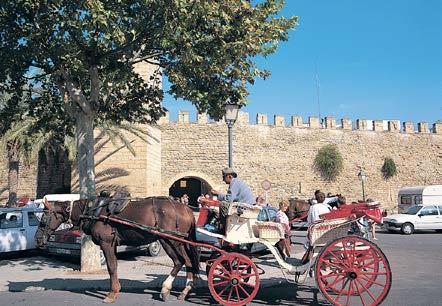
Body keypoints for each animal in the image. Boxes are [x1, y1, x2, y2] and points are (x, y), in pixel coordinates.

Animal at [34, 196, 199, 304]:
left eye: (44, 218)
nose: (37, 239)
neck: (94, 212)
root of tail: (186, 208)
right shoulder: (112, 244)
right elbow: (114, 267)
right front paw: (115, 289)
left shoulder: (106, 243)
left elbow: (111, 267)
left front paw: (112, 293)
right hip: (174, 241)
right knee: (186, 262)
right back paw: (182, 291)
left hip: (170, 240)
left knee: (181, 261)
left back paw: (169, 289)